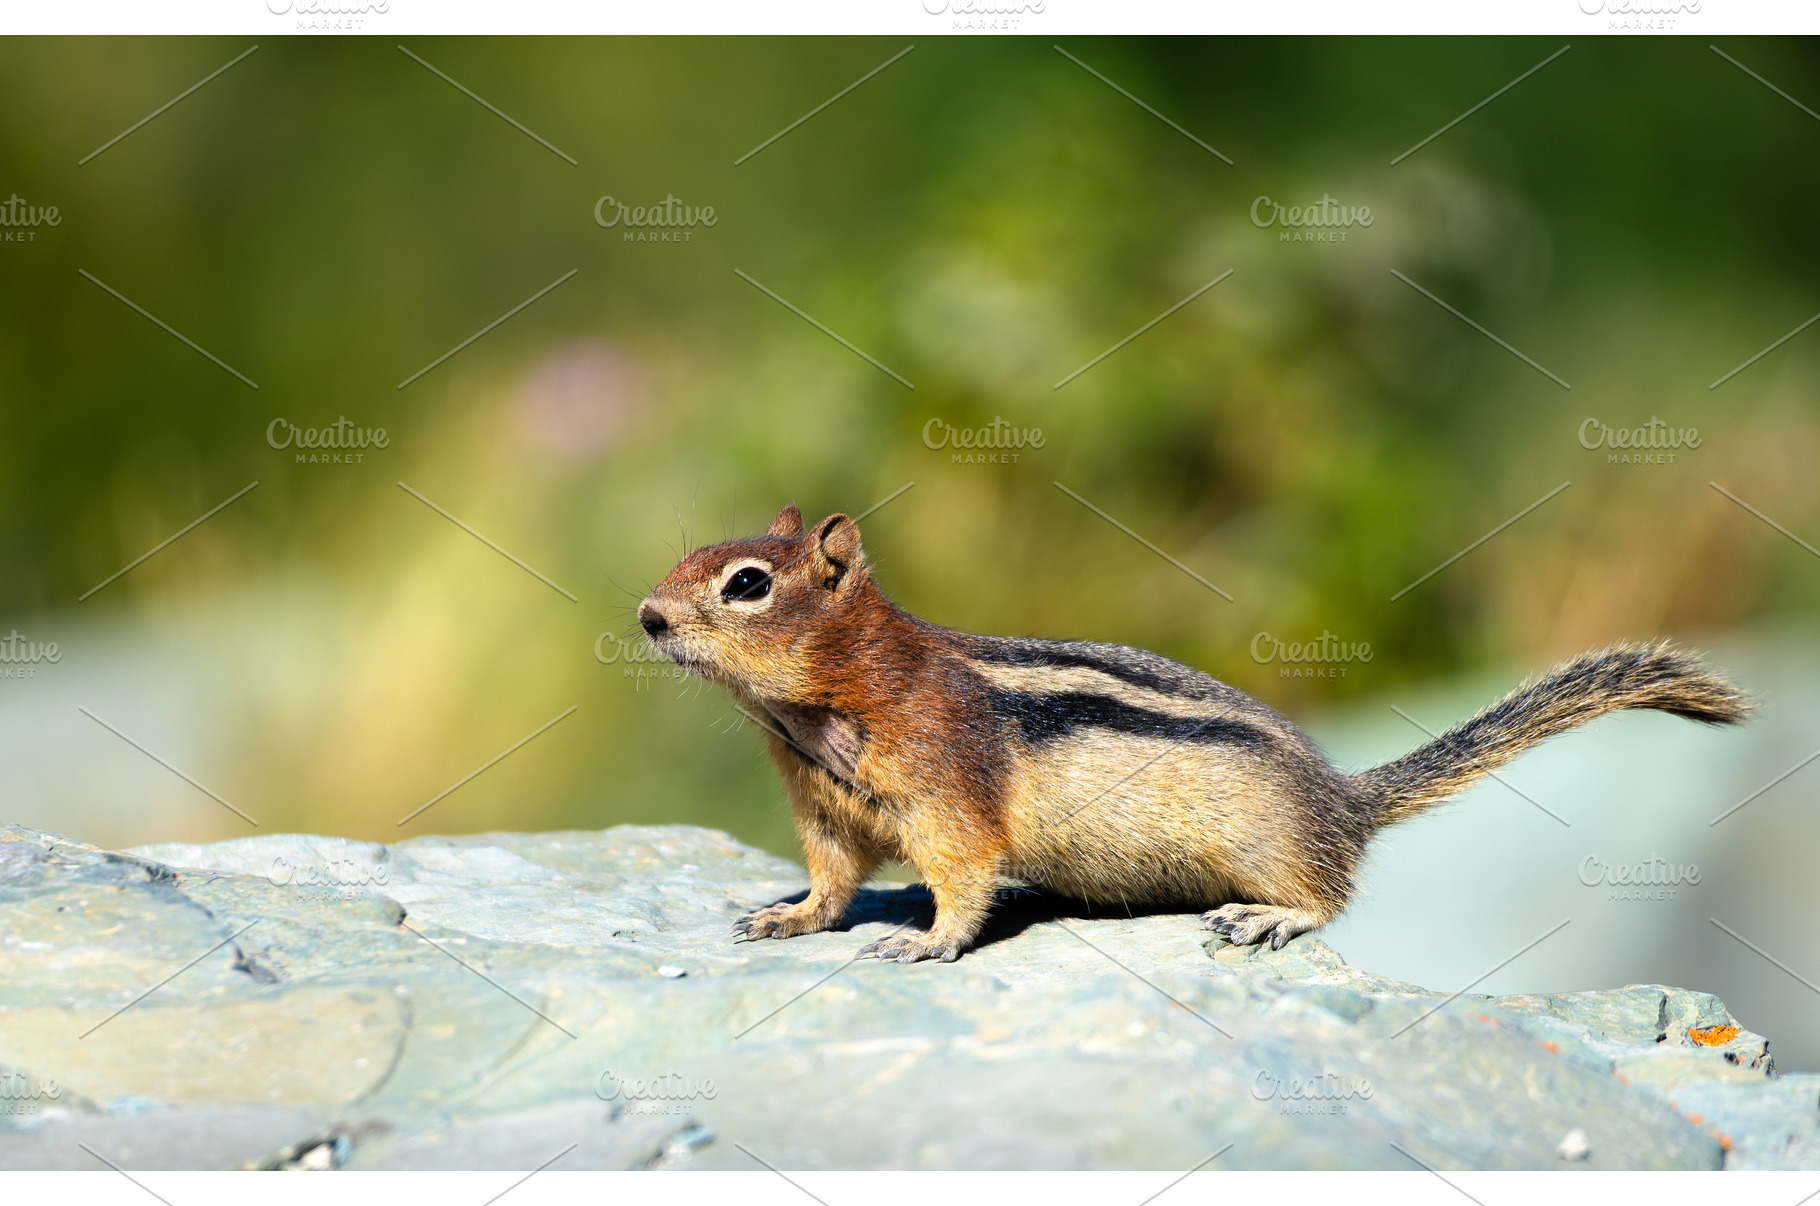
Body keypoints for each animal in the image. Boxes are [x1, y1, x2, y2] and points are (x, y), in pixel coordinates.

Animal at [638, 504, 1752, 964]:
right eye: (690, 557)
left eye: (747, 585)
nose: (645, 616)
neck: (827, 699)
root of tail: (1341, 800)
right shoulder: (824, 809)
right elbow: (831, 879)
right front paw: (784, 916)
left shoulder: (948, 795)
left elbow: (963, 879)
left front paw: (926, 941)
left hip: (1270, 844)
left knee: (1327, 898)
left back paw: (1268, 918)